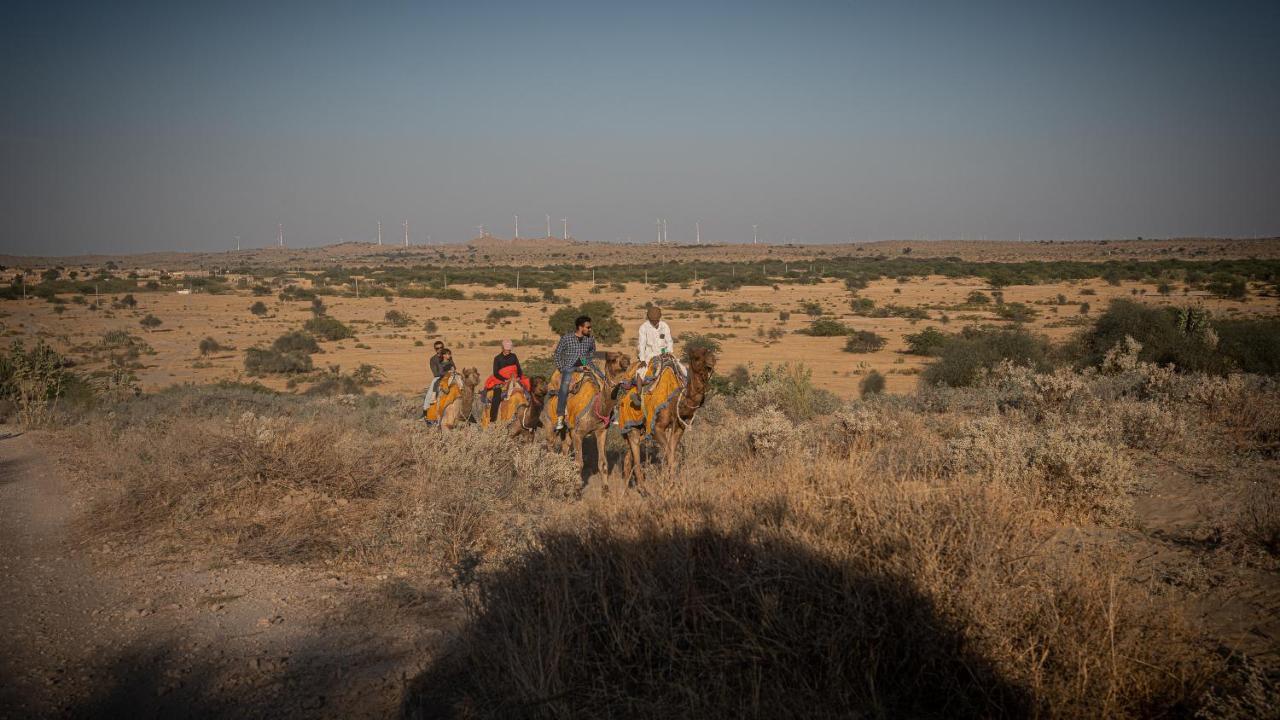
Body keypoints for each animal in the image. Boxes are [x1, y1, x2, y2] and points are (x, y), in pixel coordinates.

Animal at [542, 351, 632, 479]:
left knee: (565, 447)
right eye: (613, 360)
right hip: (549, 422)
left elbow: (603, 464)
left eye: (627, 360)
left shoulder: (601, 431)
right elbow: (578, 464)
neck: (595, 409)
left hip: (567, 429)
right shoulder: (577, 433)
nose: (626, 361)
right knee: (550, 446)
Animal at [622, 345, 721, 486]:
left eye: (709, 352)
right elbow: (669, 453)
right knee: (635, 456)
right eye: (696, 357)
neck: (678, 400)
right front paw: (671, 485)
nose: (712, 360)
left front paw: (672, 483)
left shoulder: (679, 428)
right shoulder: (656, 428)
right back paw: (643, 487)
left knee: (628, 456)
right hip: (631, 424)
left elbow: (672, 455)